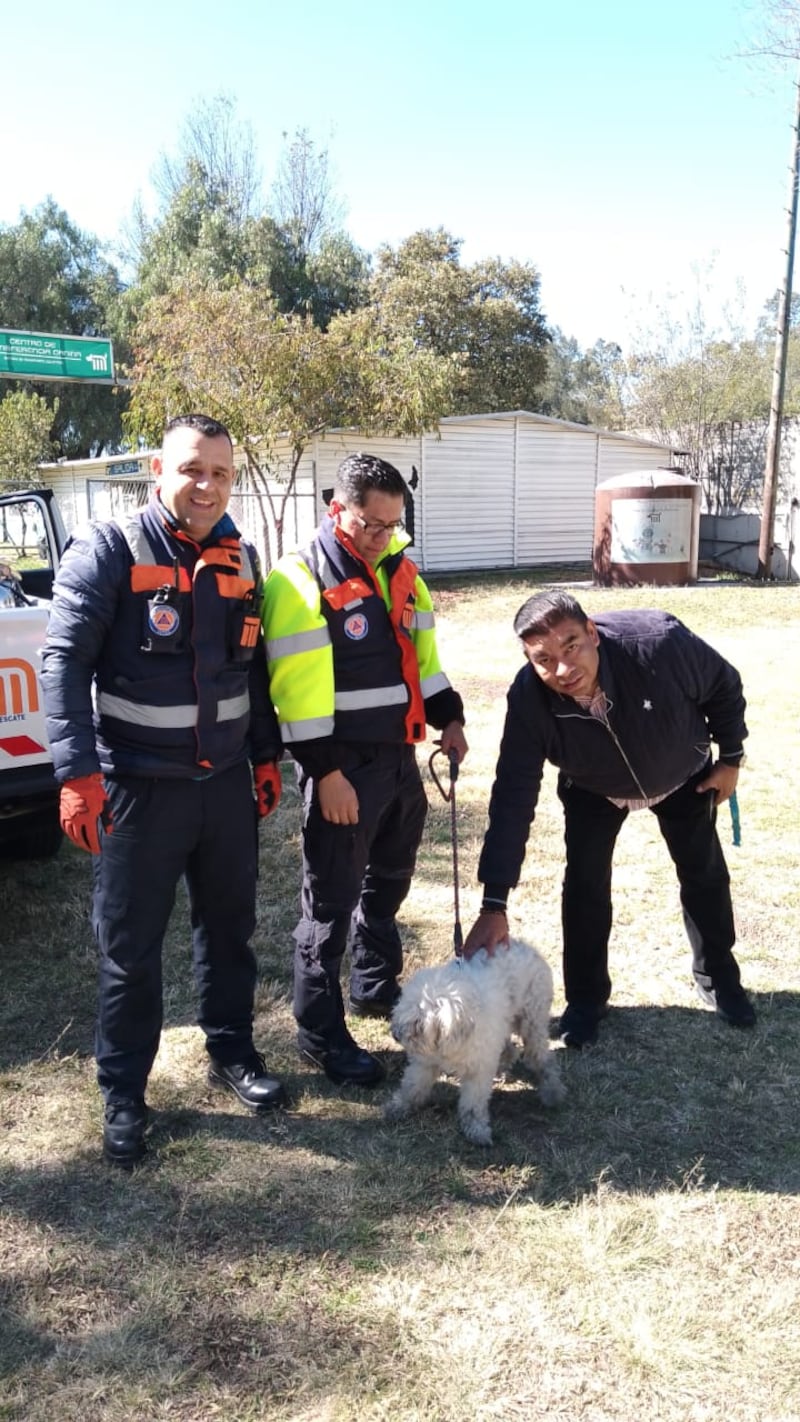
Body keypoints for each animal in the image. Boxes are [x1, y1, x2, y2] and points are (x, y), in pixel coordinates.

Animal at [386, 938, 562, 1148]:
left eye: (418, 1024)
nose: (395, 1035)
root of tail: (528, 947)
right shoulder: (424, 1063)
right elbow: (412, 1086)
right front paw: (399, 1106)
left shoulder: (477, 1071)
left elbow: (472, 1105)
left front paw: (476, 1130)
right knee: (510, 1050)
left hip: (532, 1023)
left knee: (543, 1059)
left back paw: (552, 1092)